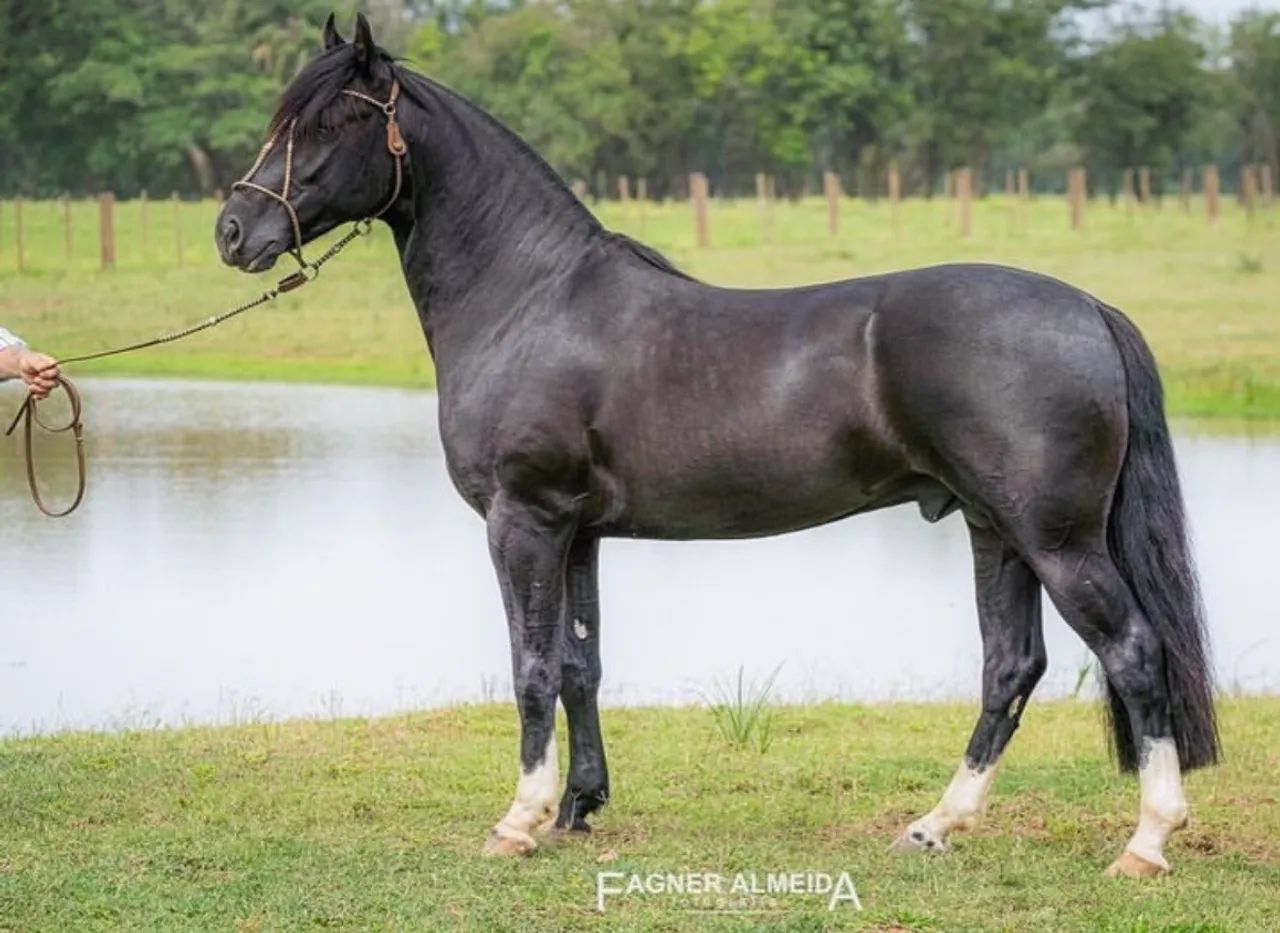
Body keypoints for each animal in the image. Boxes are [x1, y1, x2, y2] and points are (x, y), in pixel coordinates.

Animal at [215, 14, 1219, 878]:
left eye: (337, 118)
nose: (233, 230)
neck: (531, 299)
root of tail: (1084, 306)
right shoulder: (578, 532)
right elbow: (579, 664)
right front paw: (580, 806)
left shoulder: (522, 521)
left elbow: (531, 667)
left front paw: (519, 820)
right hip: (992, 528)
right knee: (1011, 665)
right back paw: (936, 824)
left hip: (1056, 539)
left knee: (1133, 650)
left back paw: (1145, 842)